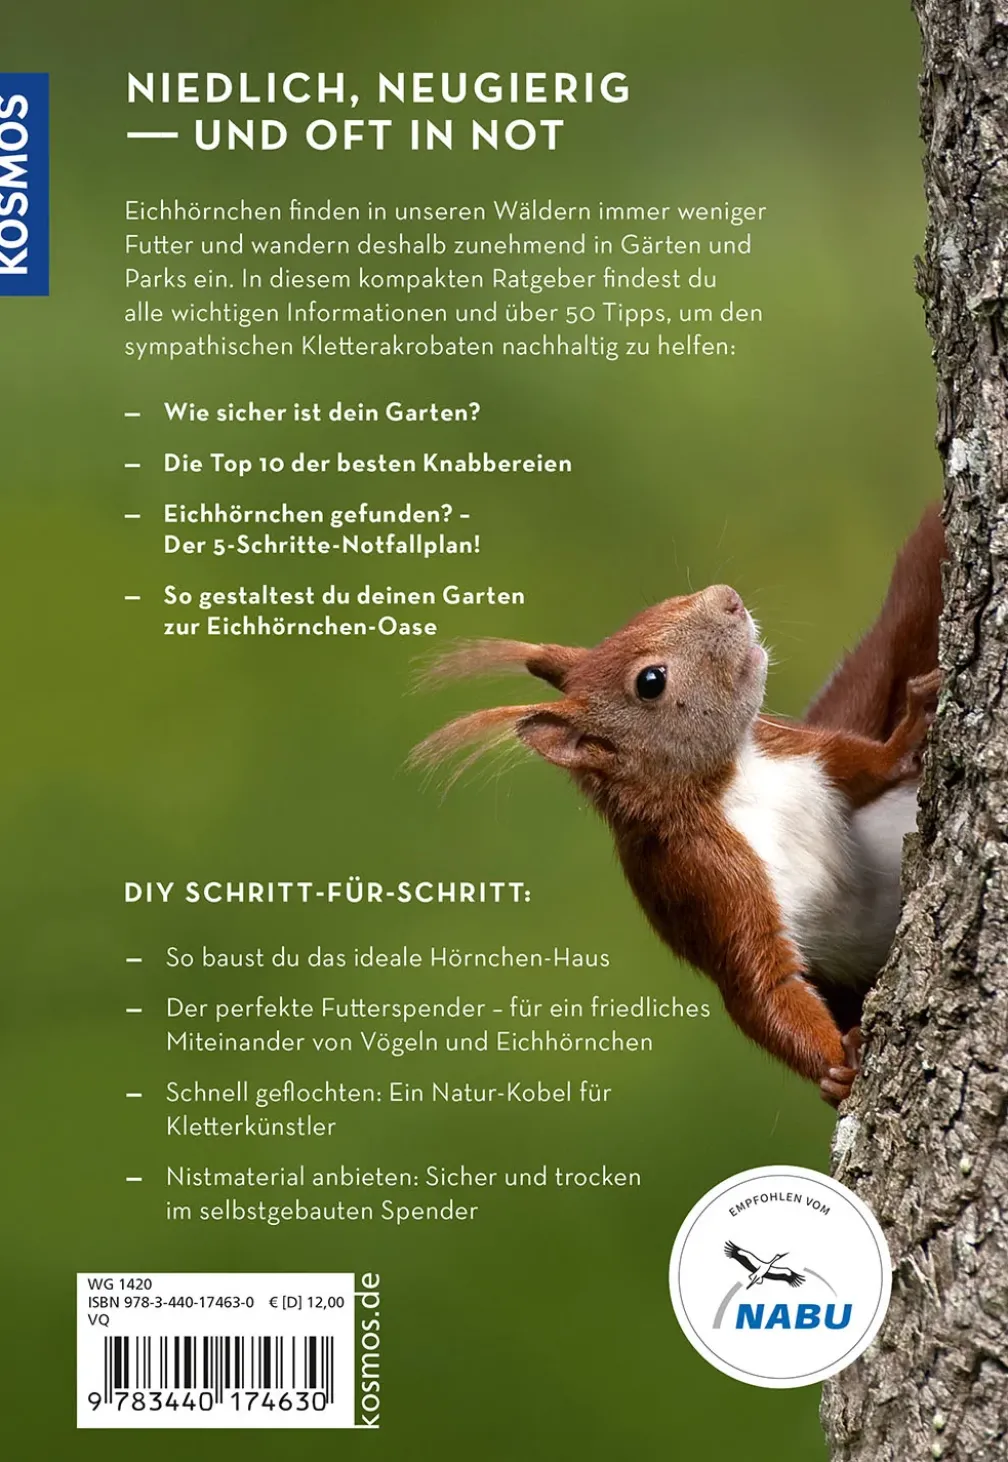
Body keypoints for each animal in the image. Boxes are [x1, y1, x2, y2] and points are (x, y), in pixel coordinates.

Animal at [411, 505, 945, 1106]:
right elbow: (761, 987)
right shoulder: (703, 879)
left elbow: (875, 766)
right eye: (651, 681)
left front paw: (908, 734)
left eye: (653, 607)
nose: (727, 597)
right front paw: (836, 1070)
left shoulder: (807, 752)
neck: (733, 782)